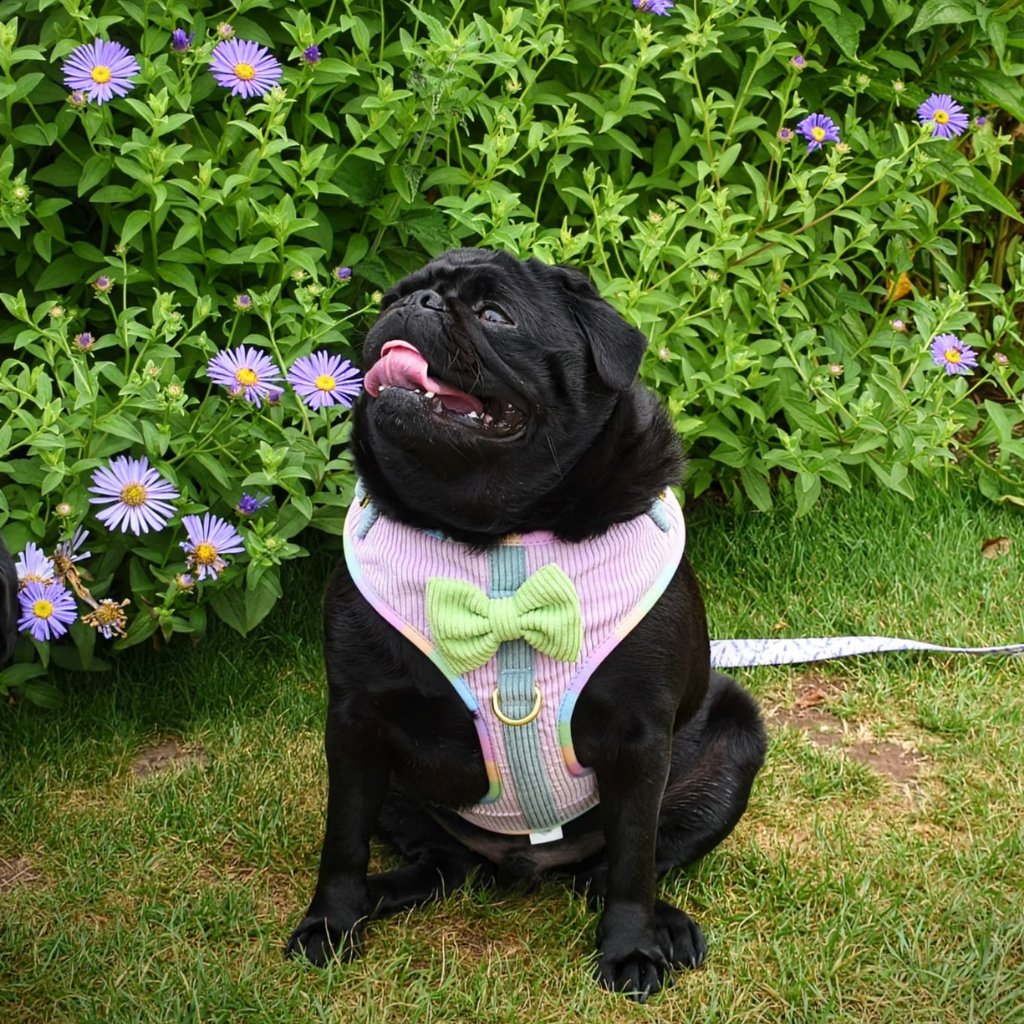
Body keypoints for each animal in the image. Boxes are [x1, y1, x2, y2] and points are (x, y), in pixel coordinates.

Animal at [287, 248, 766, 1000]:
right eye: (394, 296)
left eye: (494, 316)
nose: (417, 303)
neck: (497, 544)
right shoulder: (356, 723)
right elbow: (342, 841)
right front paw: (331, 922)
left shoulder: (640, 738)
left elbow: (634, 861)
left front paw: (631, 947)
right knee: (441, 864)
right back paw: (380, 893)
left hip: (733, 740)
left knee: (617, 867)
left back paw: (667, 926)